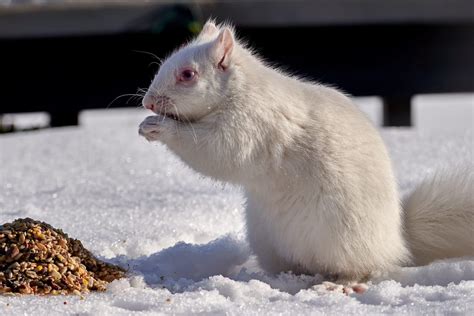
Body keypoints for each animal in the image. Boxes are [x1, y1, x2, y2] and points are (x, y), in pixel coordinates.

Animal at [140, 19, 474, 292]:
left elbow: (216, 151)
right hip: (267, 239)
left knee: (362, 267)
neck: (239, 92)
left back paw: (341, 283)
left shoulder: (251, 125)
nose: (148, 103)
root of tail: (396, 241)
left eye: (188, 75)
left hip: (345, 236)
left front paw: (159, 127)